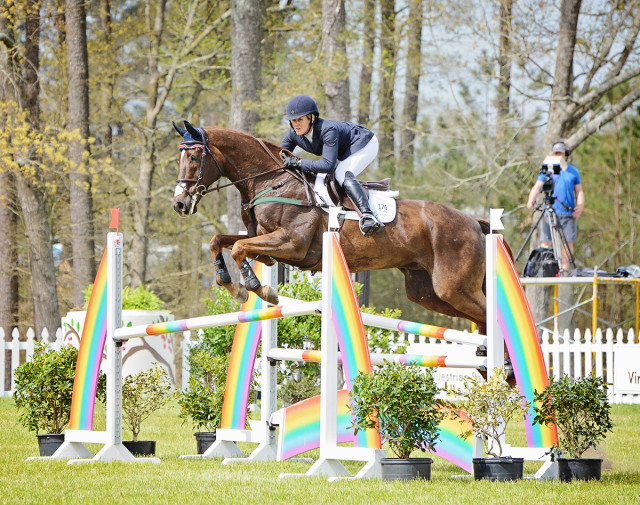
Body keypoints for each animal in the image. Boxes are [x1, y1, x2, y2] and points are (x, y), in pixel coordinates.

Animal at [172, 119, 492, 334]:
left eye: (194, 157)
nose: (179, 204)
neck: (270, 181)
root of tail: (473, 223)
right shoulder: (266, 245)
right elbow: (220, 241)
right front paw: (229, 281)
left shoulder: (291, 244)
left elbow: (239, 248)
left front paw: (255, 288)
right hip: (427, 291)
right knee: (480, 319)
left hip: (453, 287)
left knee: (490, 315)